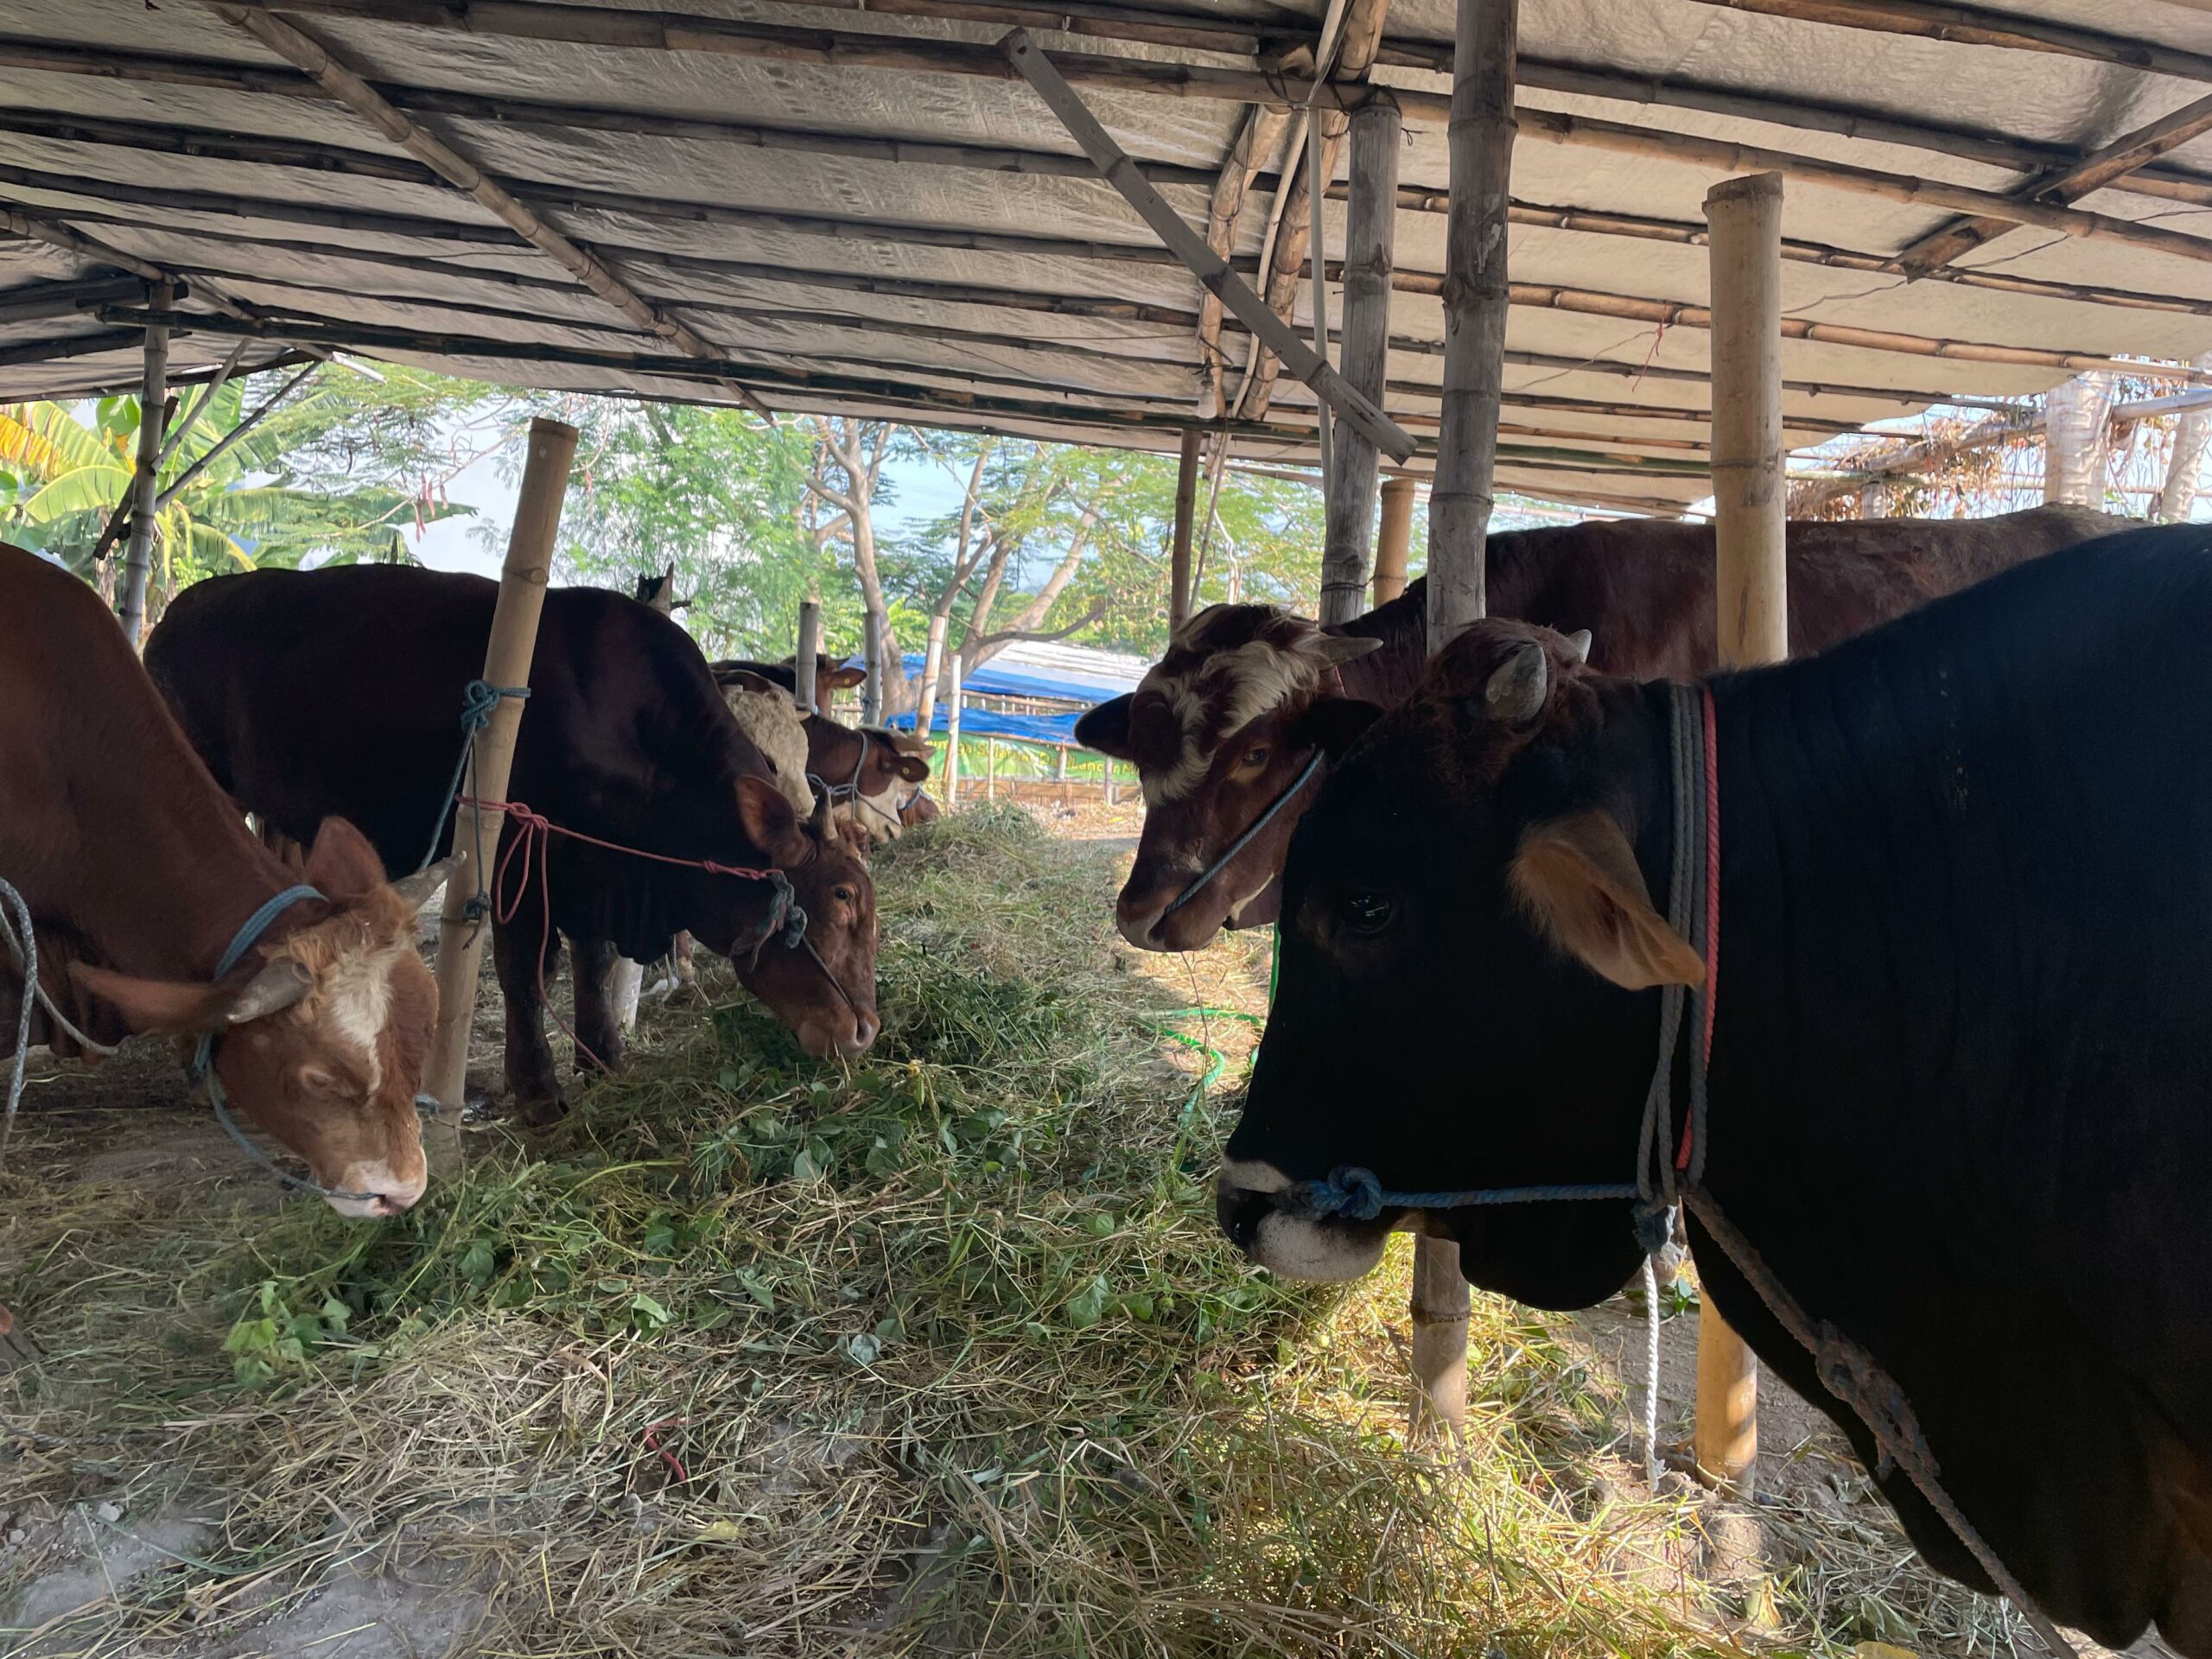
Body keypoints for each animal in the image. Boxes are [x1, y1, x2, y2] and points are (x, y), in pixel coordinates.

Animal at [149, 566, 880, 1123]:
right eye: (840, 898)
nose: (865, 1030)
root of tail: (183, 606)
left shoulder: (592, 872)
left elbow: (594, 963)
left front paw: (604, 1058)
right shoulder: (513, 857)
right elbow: (526, 970)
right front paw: (537, 1090)